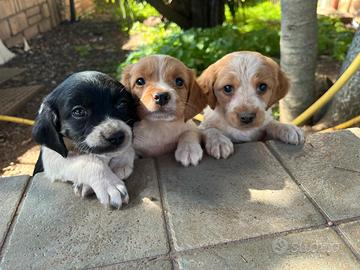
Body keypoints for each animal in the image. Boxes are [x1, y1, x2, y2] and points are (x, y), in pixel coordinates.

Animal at [32, 70, 138, 208]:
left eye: (122, 104)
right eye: (78, 112)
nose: (116, 137)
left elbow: (128, 147)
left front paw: (120, 163)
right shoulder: (52, 157)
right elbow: (87, 160)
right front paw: (110, 184)